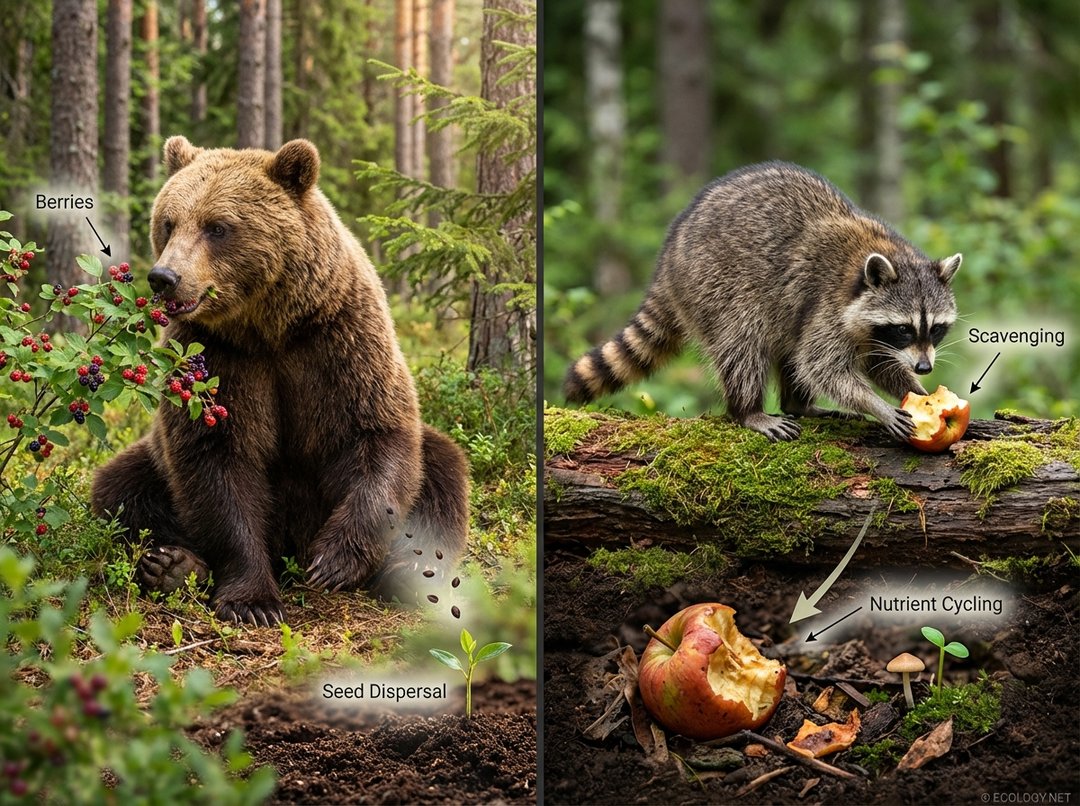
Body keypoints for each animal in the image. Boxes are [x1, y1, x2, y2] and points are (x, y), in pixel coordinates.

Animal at [91, 136, 470, 626]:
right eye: (169, 222)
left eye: (217, 227)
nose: (164, 277)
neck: (269, 327)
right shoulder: (216, 358)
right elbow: (217, 461)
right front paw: (253, 602)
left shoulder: (339, 339)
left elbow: (377, 433)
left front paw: (333, 561)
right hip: (150, 462)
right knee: (121, 489)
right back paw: (172, 564)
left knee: (443, 471)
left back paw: (413, 571)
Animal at [564, 162, 962, 441]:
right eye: (904, 328)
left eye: (935, 330)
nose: (925, 368)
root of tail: (668, 257)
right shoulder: (827, 305)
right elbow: (822, 366)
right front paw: (878, 405)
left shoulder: (869, 329)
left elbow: (879, 364)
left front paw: (917, 391)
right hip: (714, 284)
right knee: (744, 343)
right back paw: (748, 411)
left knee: (788, 348)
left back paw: (799, 405)